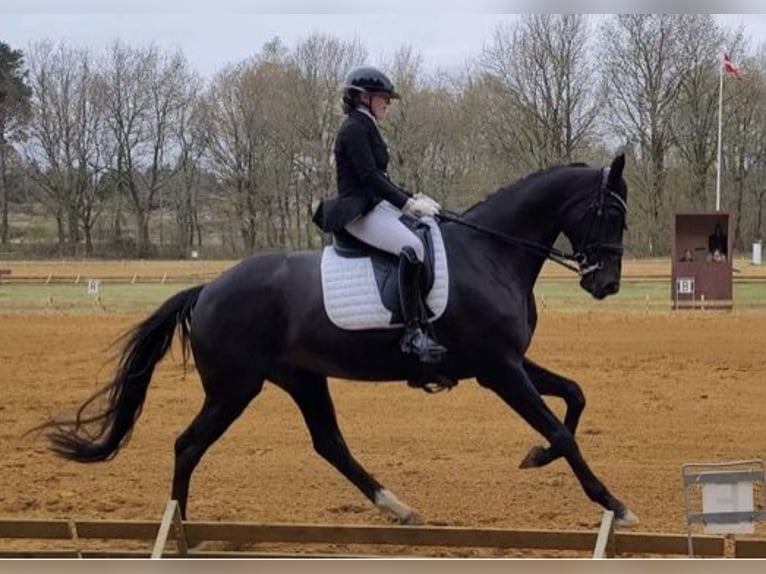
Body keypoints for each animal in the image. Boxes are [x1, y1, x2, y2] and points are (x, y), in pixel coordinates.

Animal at [36, 155, 640, 528]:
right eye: (608, 212)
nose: (606, 284)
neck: (490, 253)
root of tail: (208, 288)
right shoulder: (498, 368)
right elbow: (559, 427)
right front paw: (613, 503)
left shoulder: (508, 362)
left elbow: (575, 397)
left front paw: (535, 458)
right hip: (234, 388)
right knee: (188, 445)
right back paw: (178, 530)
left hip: (300, 378)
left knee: (329, 443)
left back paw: (397, 507)